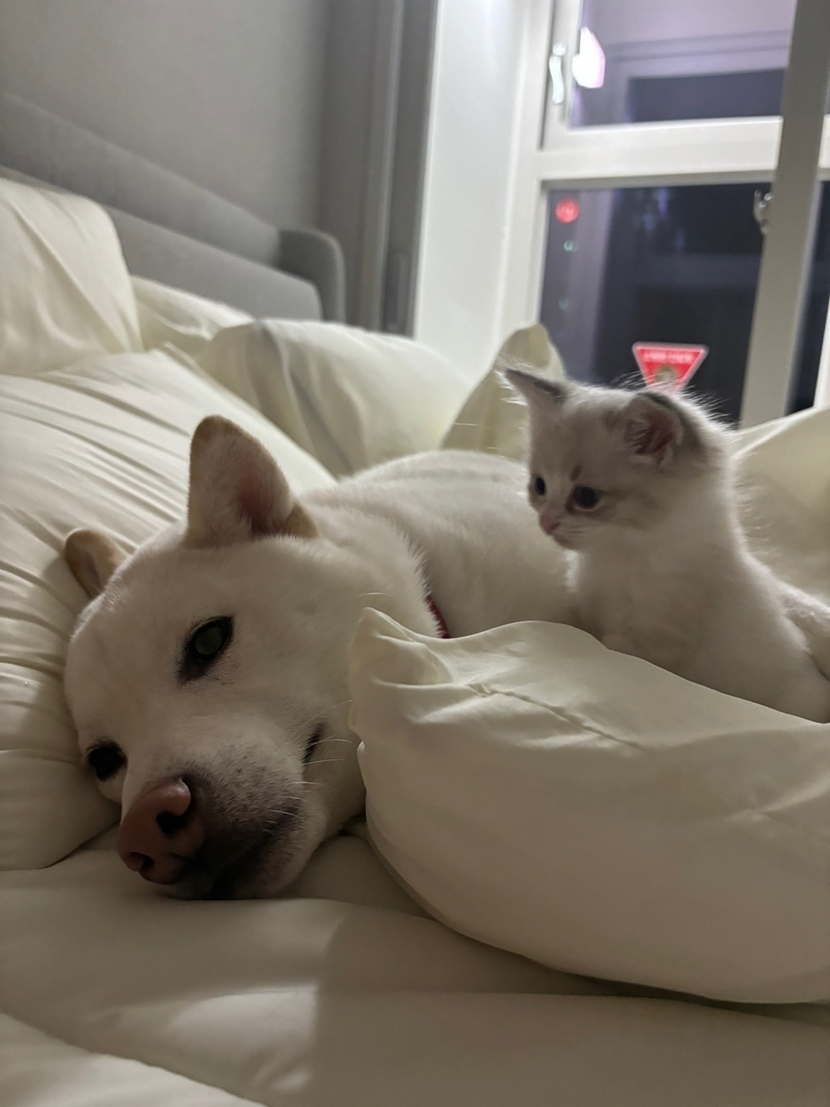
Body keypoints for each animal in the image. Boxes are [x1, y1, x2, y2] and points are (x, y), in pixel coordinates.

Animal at [506, 367, 830, 723]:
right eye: (539, 486)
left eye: (586, 497)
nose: (546, 522)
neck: (621, 556)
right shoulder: (594, 612)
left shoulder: (650, 642)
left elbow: (611, 649)